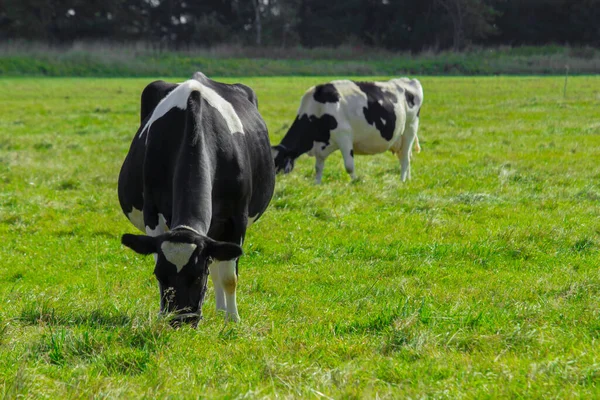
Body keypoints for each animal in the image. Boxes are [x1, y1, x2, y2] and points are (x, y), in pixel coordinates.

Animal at [116, 72, 274, 324]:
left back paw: (222, 311)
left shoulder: (236, 219)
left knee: (220, 265)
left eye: (199, 275)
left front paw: (233, 320)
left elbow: (228, 277)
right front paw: (161, 314)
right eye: (160, 275)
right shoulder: (153, 214)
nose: (180, 319)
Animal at [272, 77, 422, 183]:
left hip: (410, 128)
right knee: (406, 156)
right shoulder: (321, 144)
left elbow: (349, 166)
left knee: (405, 158)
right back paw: (408, 179)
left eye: (278, 163)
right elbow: (318, 167)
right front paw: (317, 184)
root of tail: (409, 80)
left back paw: (402, 180)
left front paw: (356, 182)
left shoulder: (344, 135)